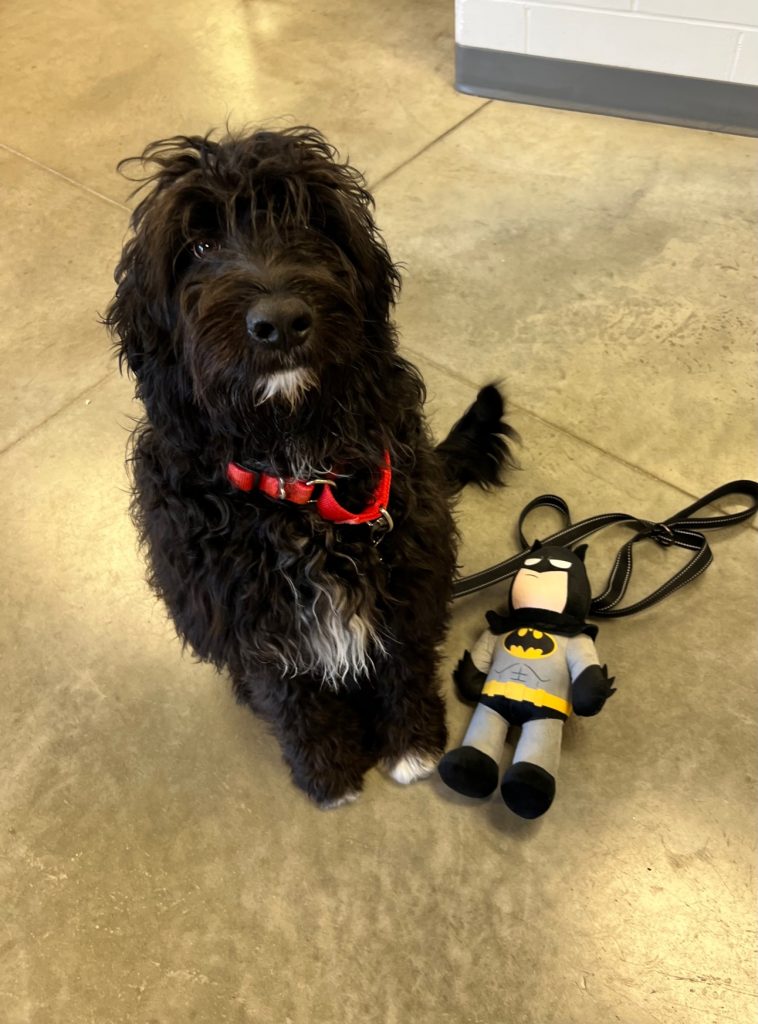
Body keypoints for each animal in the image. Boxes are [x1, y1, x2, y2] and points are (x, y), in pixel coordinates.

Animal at [106, 127, 515, 807]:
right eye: (198, 246)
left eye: (306, 221)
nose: (280, 322)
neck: (298, 475)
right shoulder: (255, 623)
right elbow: (293, 698)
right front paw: (327, 771)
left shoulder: (406, 571)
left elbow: (404, 662)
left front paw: (412, 743)